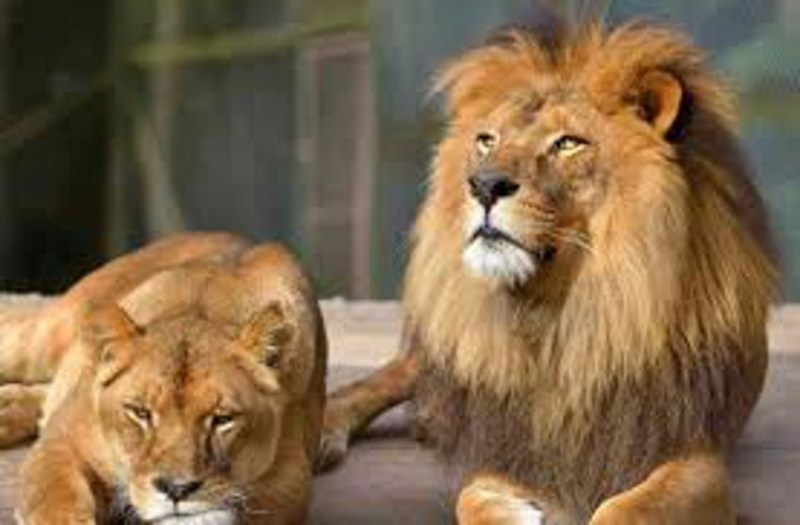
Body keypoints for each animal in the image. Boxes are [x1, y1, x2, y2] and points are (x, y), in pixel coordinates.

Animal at [0, 233, 326, 524]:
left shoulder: (291, 477)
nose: (177, 489)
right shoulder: (60, 442)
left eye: (222, 419)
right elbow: (57, 505)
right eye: (140, 413)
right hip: (42, 339)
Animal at [318, 19, 780, 525]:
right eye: (487, 140)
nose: (483, 185)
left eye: (568, 143)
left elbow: (628, 510)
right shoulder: (513, 444)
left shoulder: (692, 452)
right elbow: (471, 499)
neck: (555, 316)